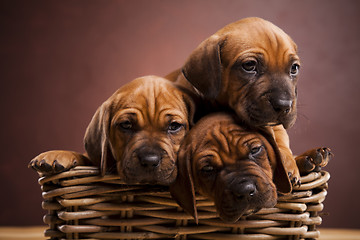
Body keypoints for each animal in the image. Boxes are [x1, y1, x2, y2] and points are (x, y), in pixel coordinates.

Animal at [166, 17, 330, 186]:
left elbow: (280, 142)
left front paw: (288, 163)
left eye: (294, 68)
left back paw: (310, 159)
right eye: (249, 65)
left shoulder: (274, 127)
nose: (284, 105)